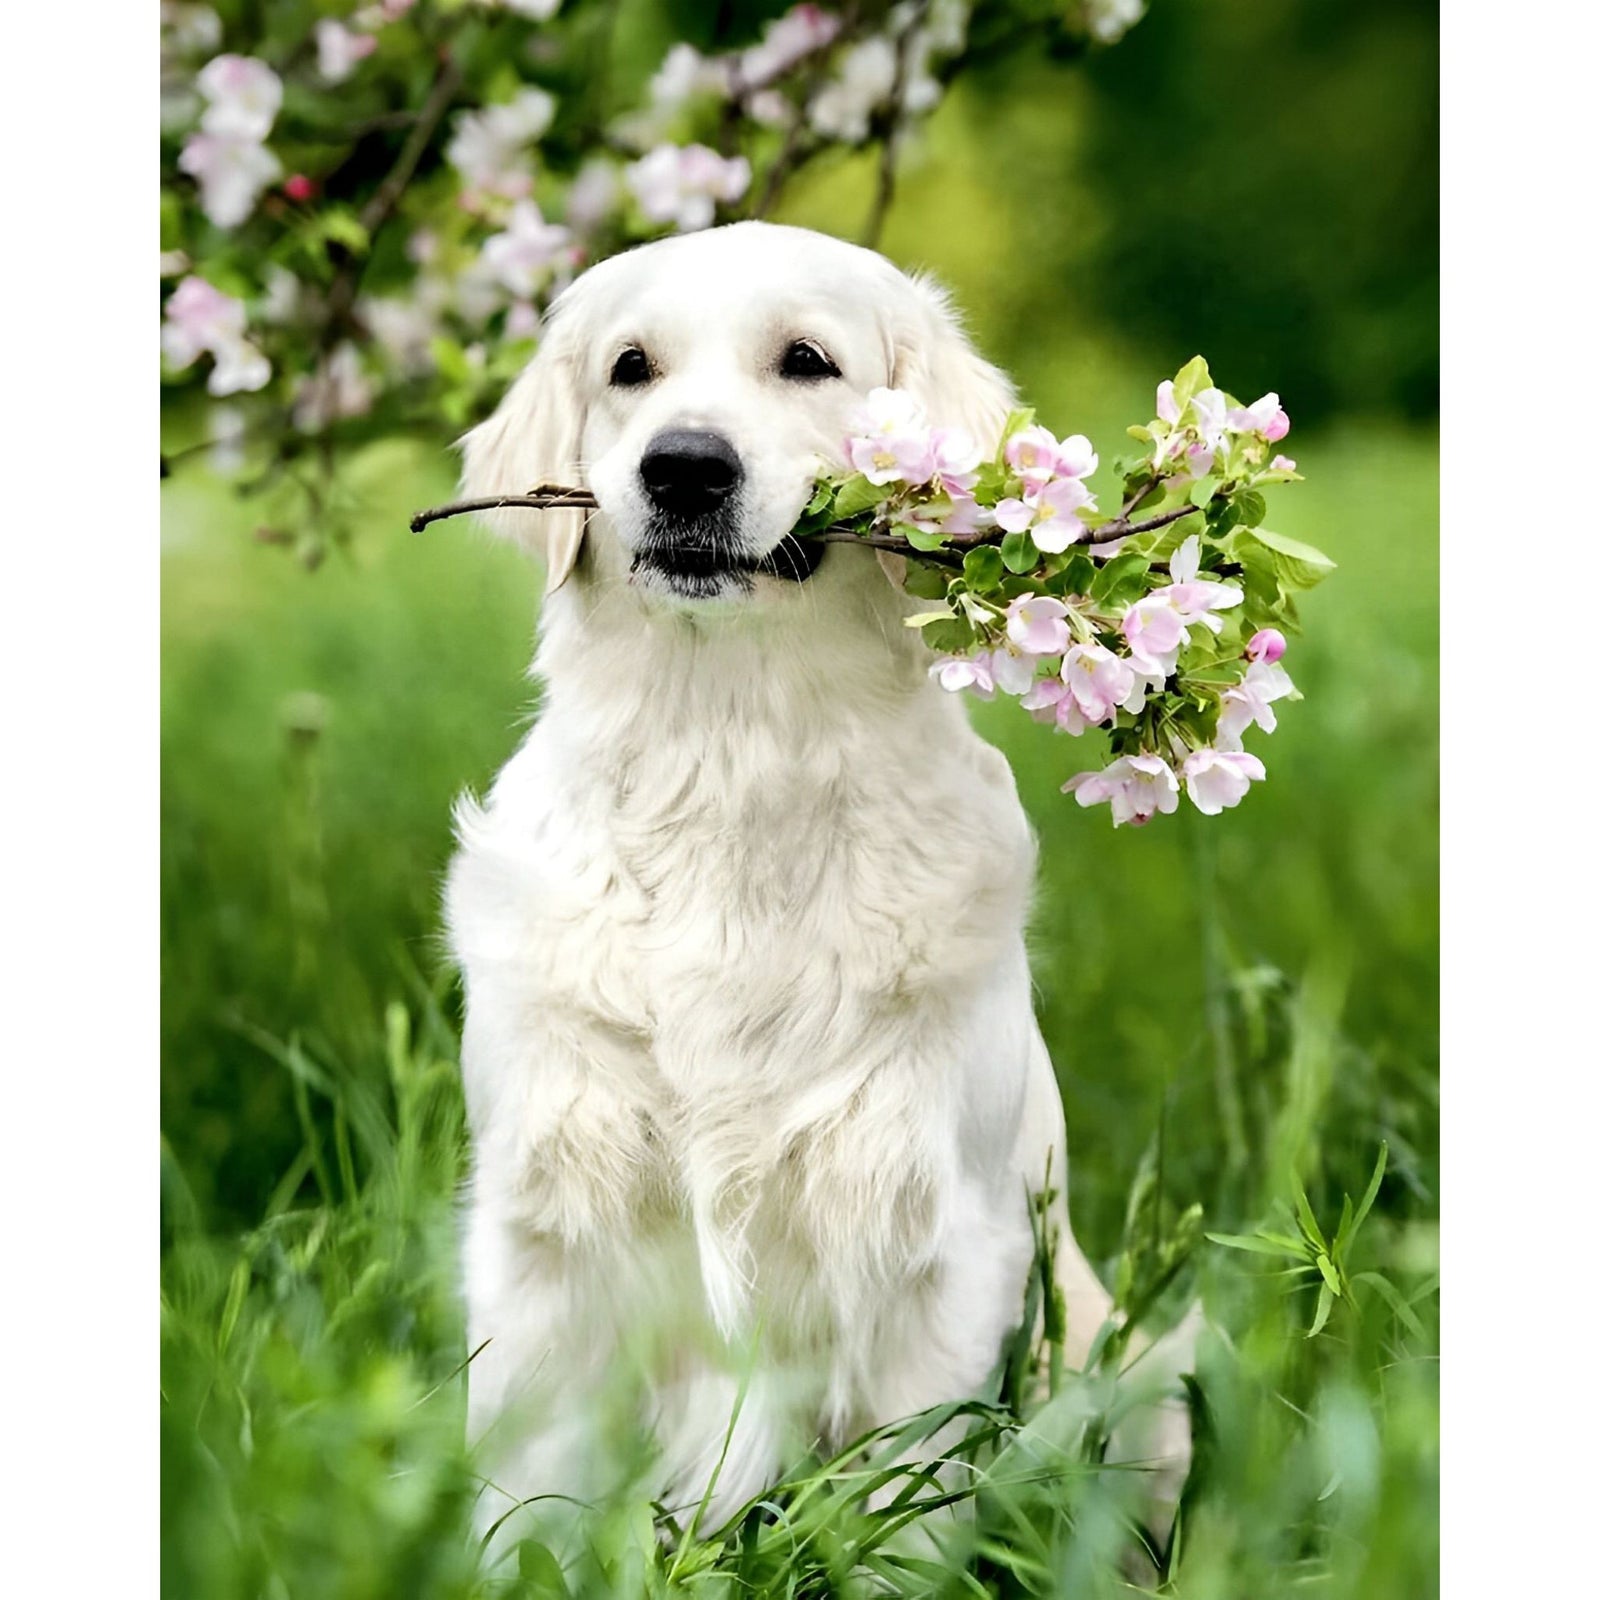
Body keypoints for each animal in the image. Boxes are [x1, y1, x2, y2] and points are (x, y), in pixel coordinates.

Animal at [444, 219, 1184, 1542]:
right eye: (630, 368)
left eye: (805, 360)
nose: (684, 468)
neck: (734, 756)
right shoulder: (544, 1229)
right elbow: (520, 1495)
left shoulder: (931, 1238)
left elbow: (909, 1501)